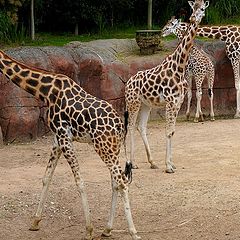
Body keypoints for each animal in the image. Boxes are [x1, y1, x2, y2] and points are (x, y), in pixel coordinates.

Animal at [0, 49, 141, 240]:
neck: (45, 91)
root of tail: (120, 126)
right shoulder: (57, 138)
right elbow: (46, 178)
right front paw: (35, 222)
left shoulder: (63, 136)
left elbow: (79, 181)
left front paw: (89, 230)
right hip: (112, 148)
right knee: (116, 181)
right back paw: (107, 229)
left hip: (103, 147)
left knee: (122, 181)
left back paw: (133, 232)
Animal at [124, 0, 209, 172]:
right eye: (193, 8)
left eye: (203, 9)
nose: (193, 18)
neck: (179, 66)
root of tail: (127, 83)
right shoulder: (170, 102)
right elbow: (168, 132)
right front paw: (168, 166)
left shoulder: (178, 102)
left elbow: (172, 131)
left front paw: (170, 163)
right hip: (133, 103)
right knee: (130, 126)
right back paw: (133, 162)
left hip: (146, 104)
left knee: (141, 126)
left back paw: (152, 162)